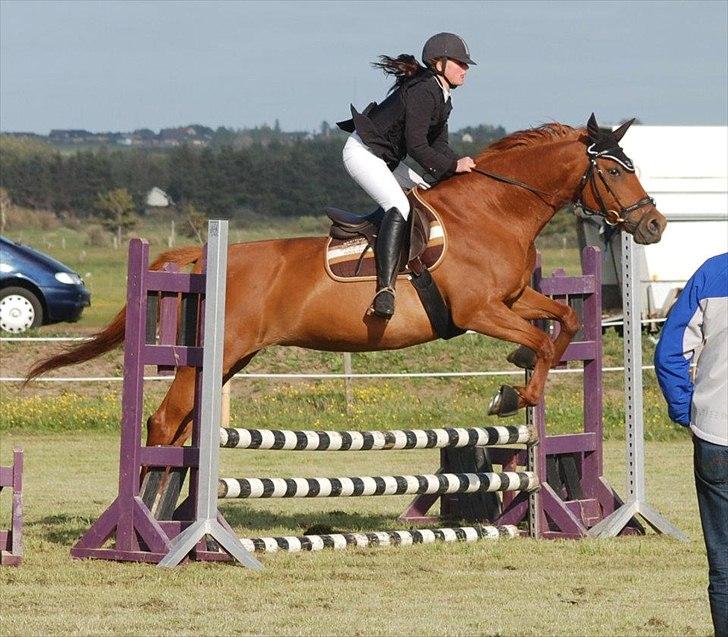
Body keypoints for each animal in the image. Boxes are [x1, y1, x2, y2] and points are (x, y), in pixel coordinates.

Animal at [27, 113, 664, 448]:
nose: (653, 224)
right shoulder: (478, 311)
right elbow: (540, 340)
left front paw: (518, 373)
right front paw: (515, 394)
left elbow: (564, 321)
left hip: (232, 358)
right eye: (613, 171)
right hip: (218, 352)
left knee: (184, 421)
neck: (495, 210)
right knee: (164, 421)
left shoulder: (514, 297)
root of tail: (205, 254)